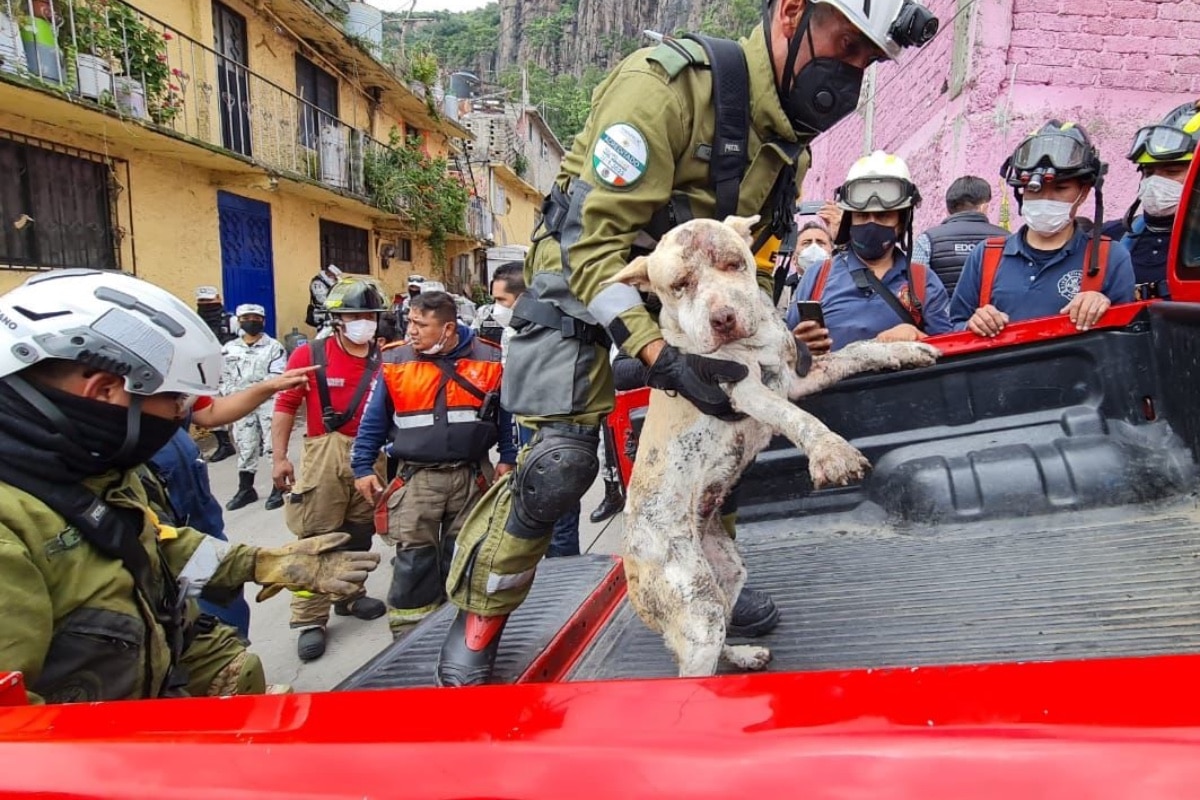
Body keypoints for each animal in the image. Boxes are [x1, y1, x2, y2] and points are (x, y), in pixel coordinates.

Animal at [609, 215, 936, 681]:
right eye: (679, 285)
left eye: (733, 263)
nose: (724, 318)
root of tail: (629, 565)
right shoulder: (745, 390)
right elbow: (798, 419)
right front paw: (832, 453)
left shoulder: (797, 376)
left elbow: (857, 351)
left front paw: (903, 349)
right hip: (695, 604)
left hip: (726, 574)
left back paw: (745, 655)